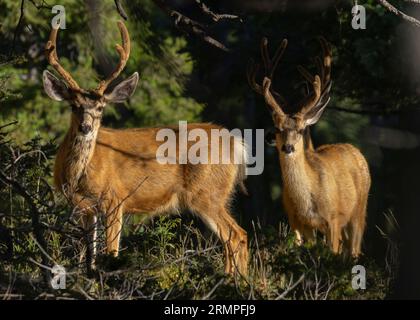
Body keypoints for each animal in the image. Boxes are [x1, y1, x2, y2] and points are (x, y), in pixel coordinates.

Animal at [41, 21, 249, 274]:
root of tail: (236, 143)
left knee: (237, 236)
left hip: (208, 192)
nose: (86, 127)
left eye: (101, 107)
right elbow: (89, 256)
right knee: (233, 239)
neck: (78, 175)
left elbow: (111, 251)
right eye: (74, 106)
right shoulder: (84, 208)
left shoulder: (115, 198)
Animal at [248, 37, 370, 256]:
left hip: (359, 211)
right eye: (278, 128)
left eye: (300, 129)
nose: (288, 147)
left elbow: (332, 252)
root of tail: (354, 149)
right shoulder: (297, 223)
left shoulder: (333, 218)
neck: (307, 202)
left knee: (354, 249)